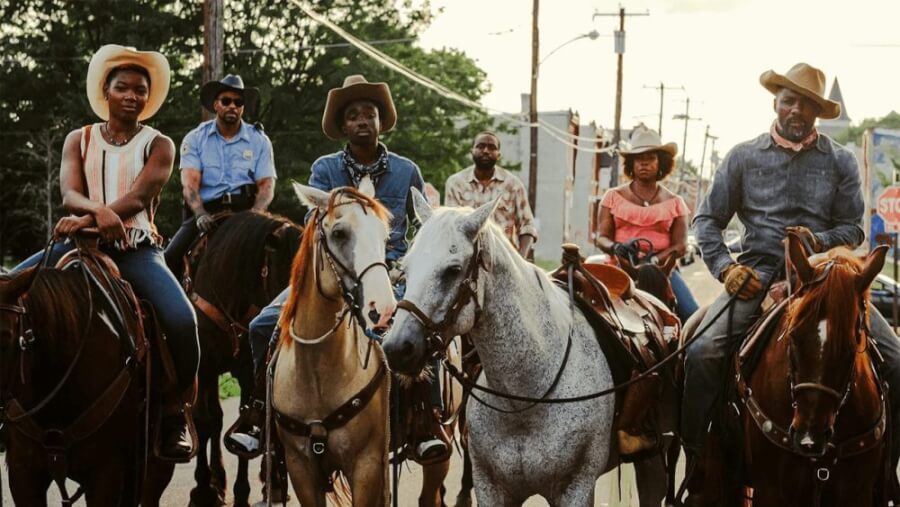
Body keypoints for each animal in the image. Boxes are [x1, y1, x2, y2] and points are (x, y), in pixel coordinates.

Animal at [185, 210, 300, 507]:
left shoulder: (250, 372)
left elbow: (245, 416)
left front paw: (241, 492)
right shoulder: (205, 368)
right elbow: (206, 421)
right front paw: (204, 488)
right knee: (213, 420)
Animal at [386, 192, 620, 506]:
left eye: (453, 270)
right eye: (405, 269)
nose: (396, 348)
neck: (525, 400)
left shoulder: (577, 488)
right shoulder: (492, 488)